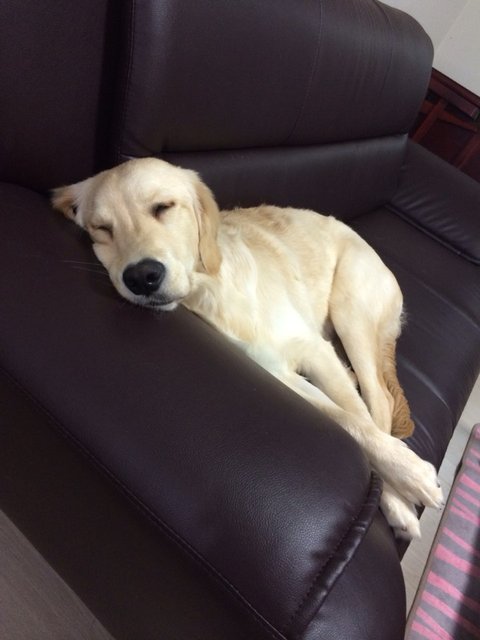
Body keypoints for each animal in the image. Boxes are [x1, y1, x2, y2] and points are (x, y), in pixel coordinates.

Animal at [52, 157, 444, 539]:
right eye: (101, 229)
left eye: (163, 207)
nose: (141, 277)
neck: (213, 287)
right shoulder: (273, 370)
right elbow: (345, 420)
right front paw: (401, 480)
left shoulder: (313, 350)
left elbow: (358, 418)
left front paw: (405, 482)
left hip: (351, 308)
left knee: (378, 398)